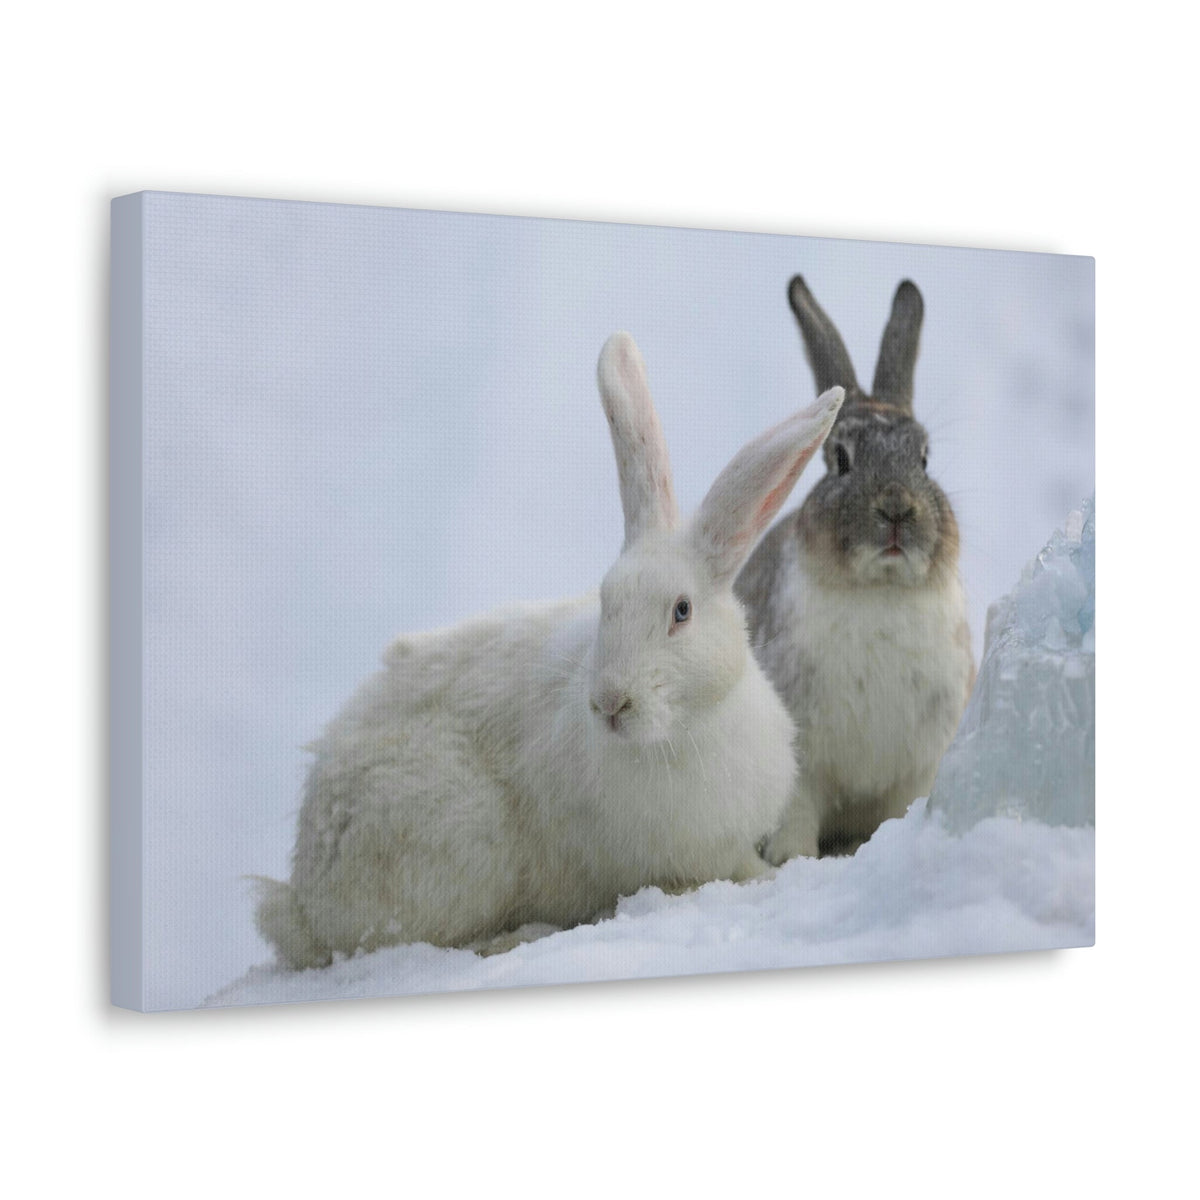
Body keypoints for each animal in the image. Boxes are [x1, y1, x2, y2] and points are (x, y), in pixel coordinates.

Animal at [256, 331, 845, 968]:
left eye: (681, 611)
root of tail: (306, 902)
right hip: (456, 843)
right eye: (606, 602)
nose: (610, 703)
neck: (685, 728)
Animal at [735, 277, 975, 862]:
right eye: (840, 459)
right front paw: (791, 861)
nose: (896, 508)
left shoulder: (917, 769)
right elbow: (795, 817)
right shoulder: (800, 765)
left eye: (925, 458)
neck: (879, 589)